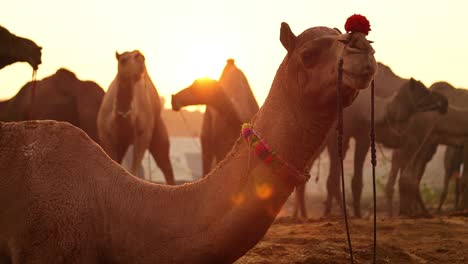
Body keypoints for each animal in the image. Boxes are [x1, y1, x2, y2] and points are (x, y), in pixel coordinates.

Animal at [97, 49, 176, 184]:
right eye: (123, 60)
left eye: (139, 57)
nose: (140, 56)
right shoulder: (106, 135)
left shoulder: (142, 134)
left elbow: (134, 171)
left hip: (157, 130)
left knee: (166, 165)